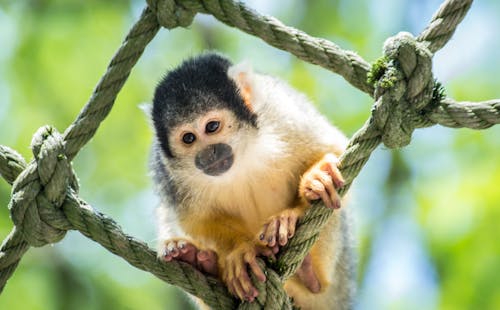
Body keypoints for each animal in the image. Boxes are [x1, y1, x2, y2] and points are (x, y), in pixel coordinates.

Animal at [148, 54, 356, 310]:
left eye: (212, 126)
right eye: (188, 138)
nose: (208, 155)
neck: (242, 152)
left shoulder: (281, 112)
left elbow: (332, 147)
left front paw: (304, 195)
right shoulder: (168, 171)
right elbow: (195, 221)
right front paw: (241, 249)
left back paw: (311, 275)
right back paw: (199, 262)